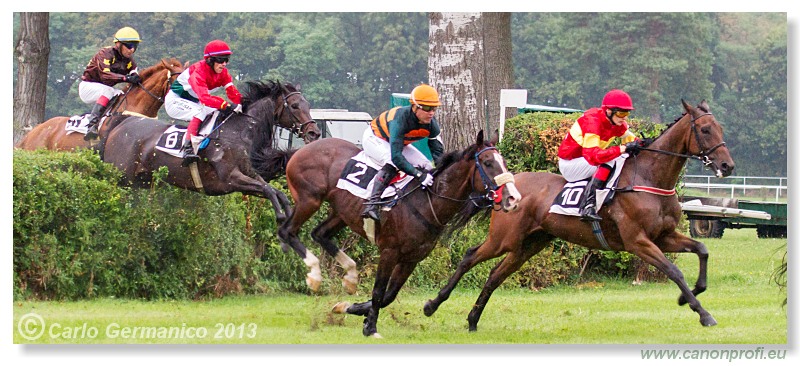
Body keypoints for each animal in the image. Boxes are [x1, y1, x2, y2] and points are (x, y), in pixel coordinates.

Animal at [101, 79, 320, 223]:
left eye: (308, 105)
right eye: (294, 105)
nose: (314, 132)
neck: (238, 131)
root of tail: (121, 123)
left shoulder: (249, 174)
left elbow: (276, 192)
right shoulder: (230, 179)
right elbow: (268, 189)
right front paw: (282, 217)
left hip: (142, 181)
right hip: (121, 177)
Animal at [278, 131, 520, 338]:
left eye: (504, 162)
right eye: (488, 163)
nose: (513, 198)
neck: (427, 201)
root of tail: (300, 150)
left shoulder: (411, 259)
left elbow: (389, 295)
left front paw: (352, 309)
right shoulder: (389, 252)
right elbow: (378, 291)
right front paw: (370, 328)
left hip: (341, 213)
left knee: (319, 233)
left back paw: (350, 276)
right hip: (310, 199)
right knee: (288, 231)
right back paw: (315, 275)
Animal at [424, 100, 736, 332]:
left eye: (720, 128)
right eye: (705, 129)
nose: (727, 166)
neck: (648, 178)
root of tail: (505, 188)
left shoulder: (664, 235)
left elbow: (702, 249)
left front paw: (690, 294)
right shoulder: (638, 241)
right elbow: (674, 270)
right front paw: (702, 312)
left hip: (529, 244)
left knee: (495, 274)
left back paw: (472, 319)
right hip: (503, 238)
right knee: (470, 256)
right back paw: (433, 305)